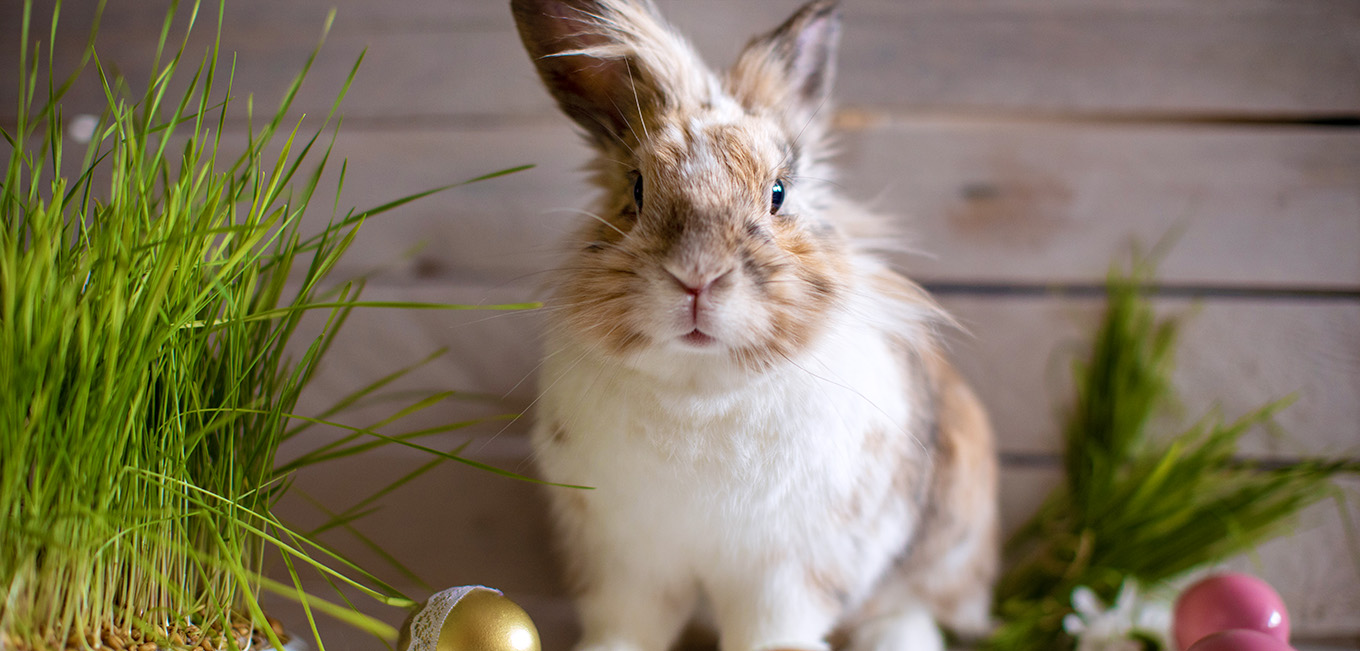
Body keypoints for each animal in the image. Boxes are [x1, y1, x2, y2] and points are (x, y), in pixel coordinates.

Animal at [511, 1, 1000, 651]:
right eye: (637, 189)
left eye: (778, 193)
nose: (697, 277)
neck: (699, 388)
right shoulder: (625, 563)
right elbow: (627, 625)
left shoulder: (791, 570)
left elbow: (773, 629)